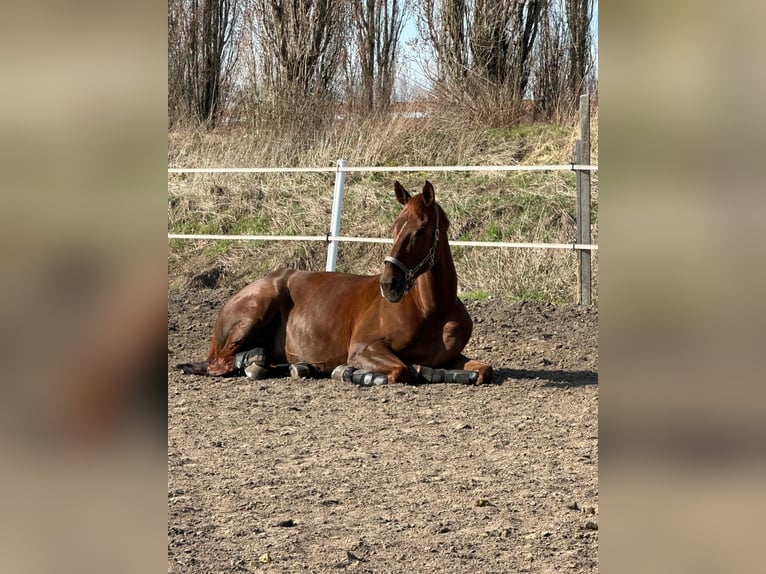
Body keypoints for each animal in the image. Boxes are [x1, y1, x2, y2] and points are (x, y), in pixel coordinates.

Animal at [177, 180, 496, 388]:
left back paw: (294, 365)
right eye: (394, 228)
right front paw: (354, 373)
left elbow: (484, 370)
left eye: (421, 230)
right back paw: (254, 362)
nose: (389, 284)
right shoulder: (364, 348)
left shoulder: (453, 356)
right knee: (221, 362)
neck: (431, 311)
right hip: (256, 310)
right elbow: (400, 371)